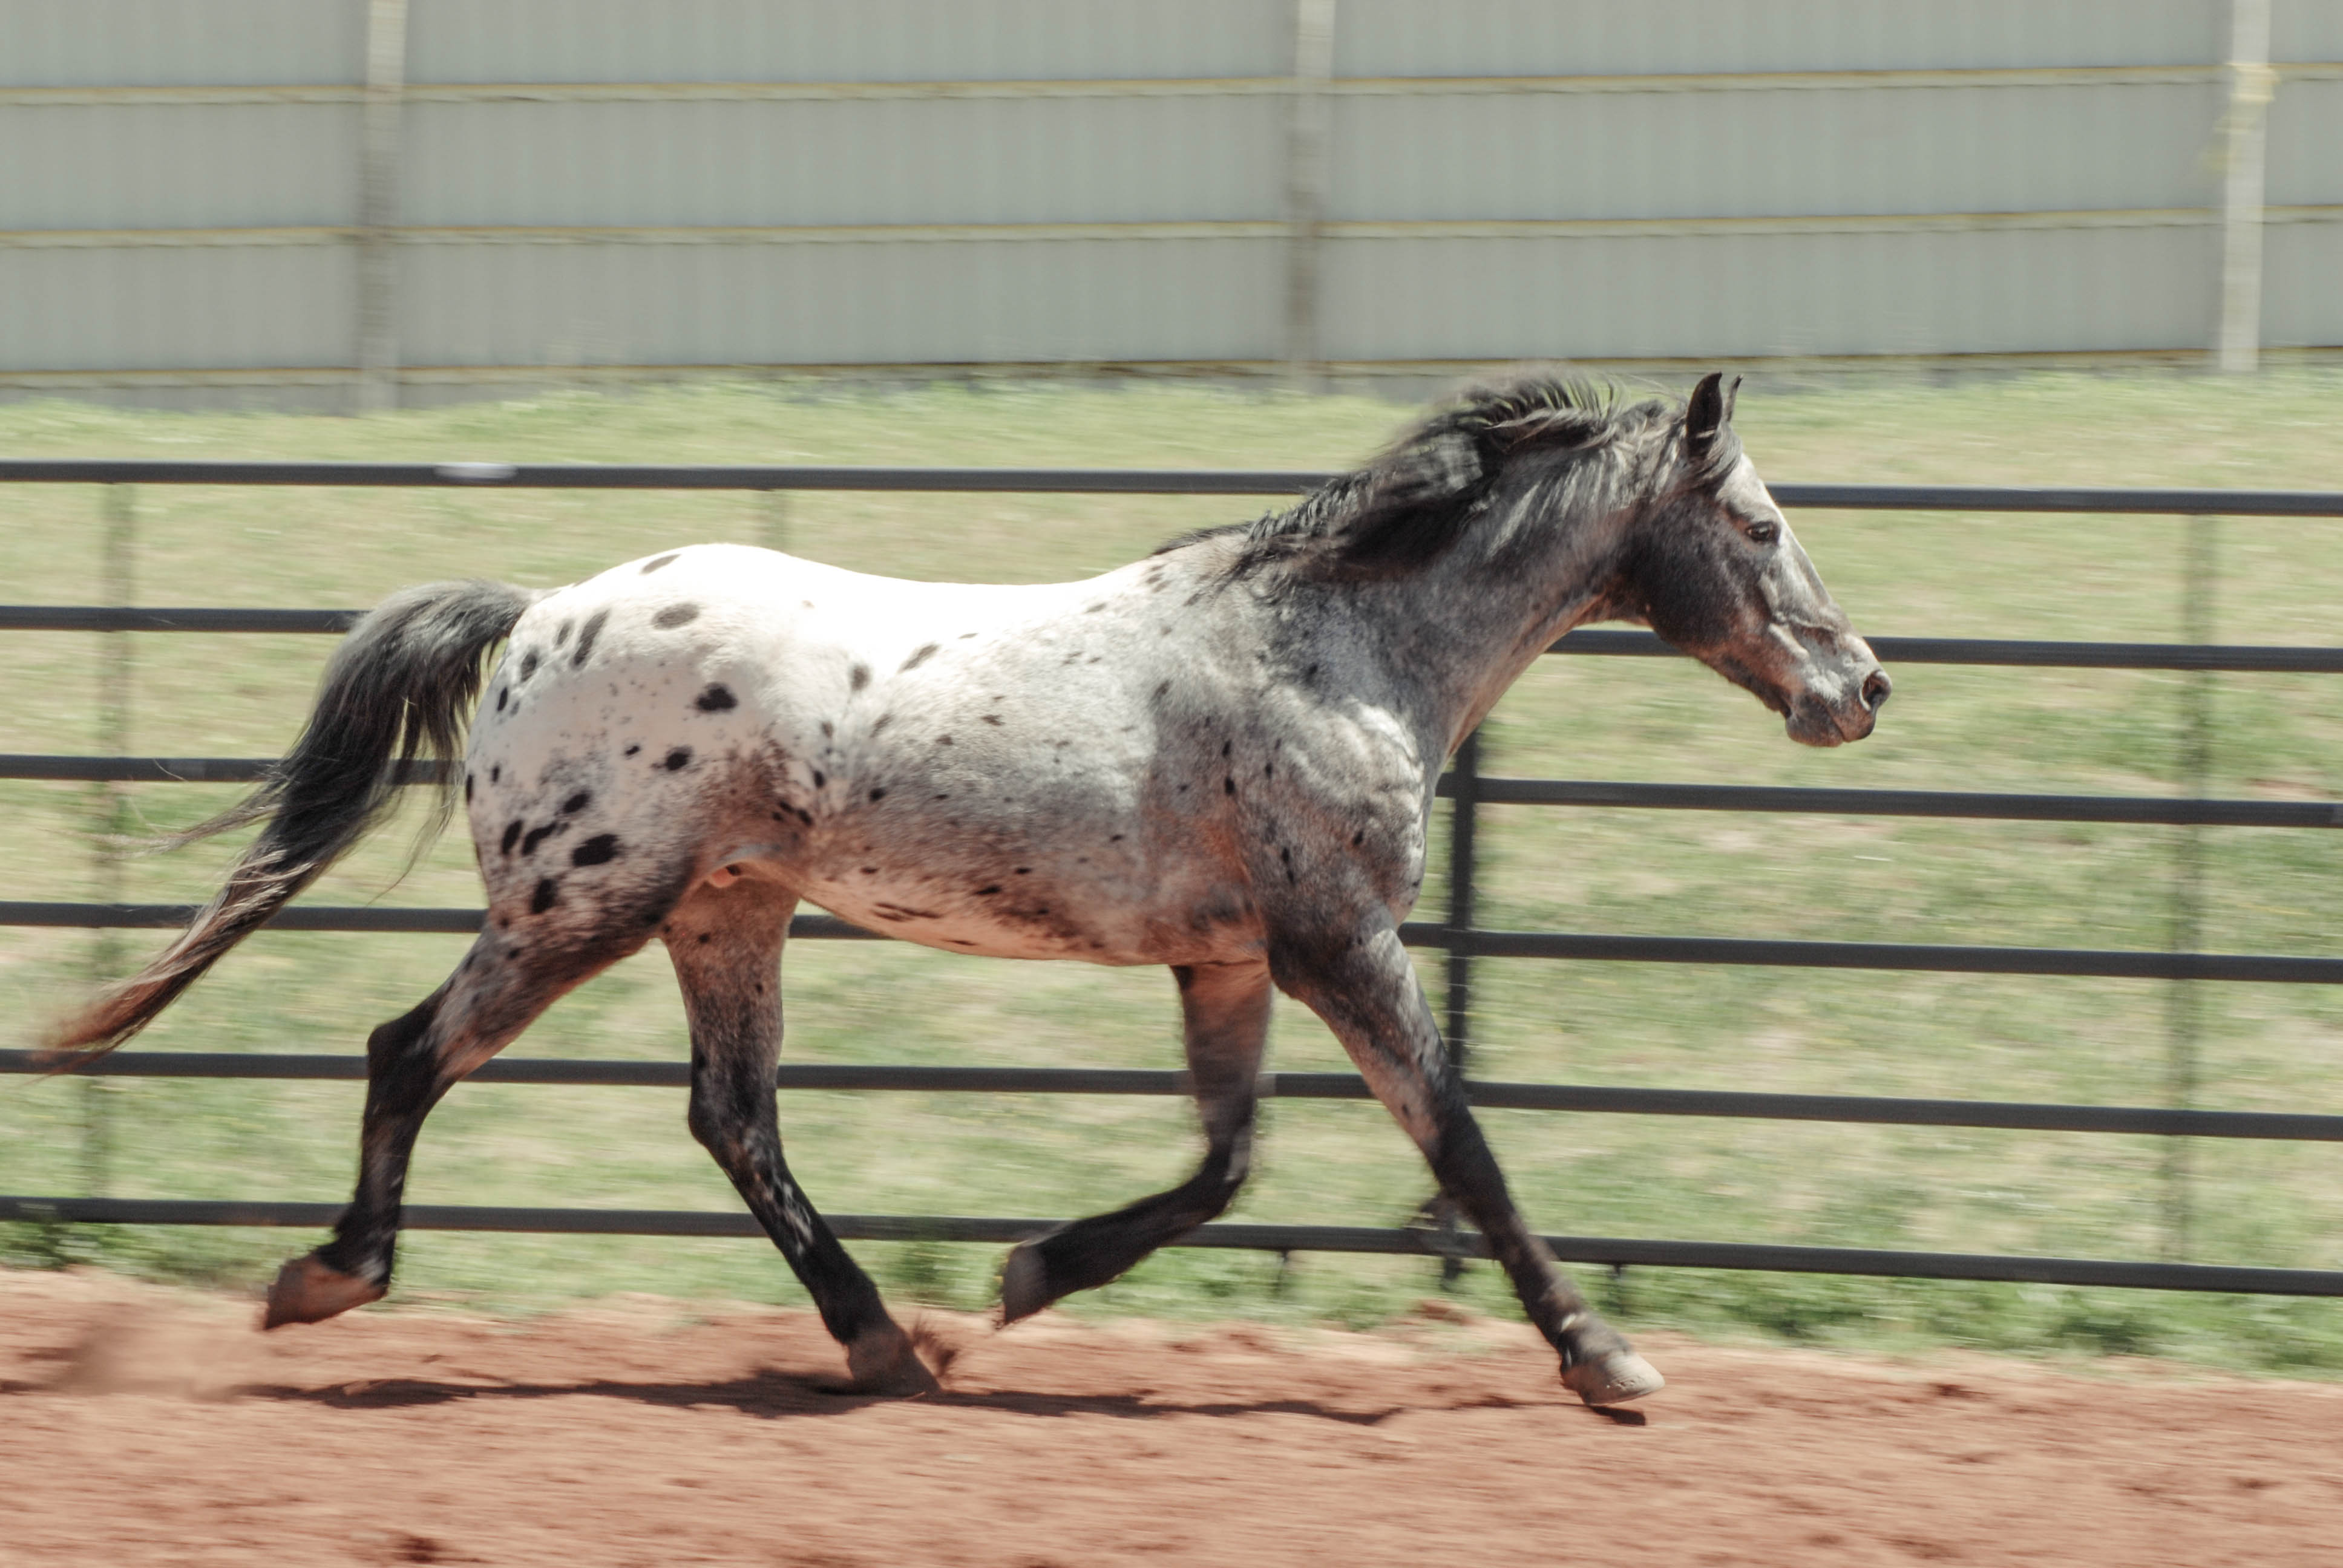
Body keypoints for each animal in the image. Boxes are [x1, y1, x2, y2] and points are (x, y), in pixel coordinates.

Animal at [41, 373, 1884, 1397]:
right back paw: (326, 1282)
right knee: (411, 1052)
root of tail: (538, 613)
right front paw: (1607, 1362)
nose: (1859, 688)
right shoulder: (1341, 943)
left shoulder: (1231, 963)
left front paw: (1025, 1274)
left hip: (725, 912)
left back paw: (883, 1340)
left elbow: (1226, 1166)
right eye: (1763, 524)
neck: (1338, 649)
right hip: (582, 906)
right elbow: (1465, 1149)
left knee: (733, 1119)